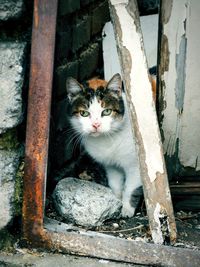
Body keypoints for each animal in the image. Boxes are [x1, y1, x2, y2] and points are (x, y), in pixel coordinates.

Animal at [66, 73, 144, 218]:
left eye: (106, 111)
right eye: (84, 113)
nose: (96, 125)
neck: (107, 140)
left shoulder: (136, 166)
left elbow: (130, 188)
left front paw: (127, 209)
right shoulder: (110, 165)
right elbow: (115, 183)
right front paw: (116, 201)